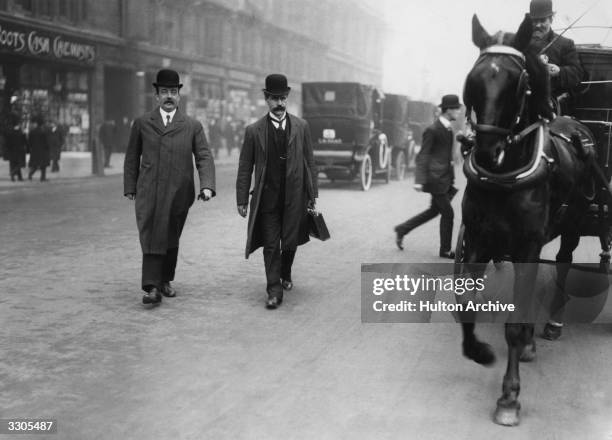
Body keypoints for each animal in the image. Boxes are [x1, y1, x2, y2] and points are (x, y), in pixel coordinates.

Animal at [460, 14, 596, 426]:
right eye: (473, 80)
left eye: (518, 83)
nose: (485, 152)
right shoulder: (478, 239)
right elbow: (466, 304)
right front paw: (479, 352)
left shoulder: (525, 246)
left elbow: (515, 326)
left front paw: (509, 397)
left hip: (571, 226)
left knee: (564, 263)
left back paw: (551, 324)